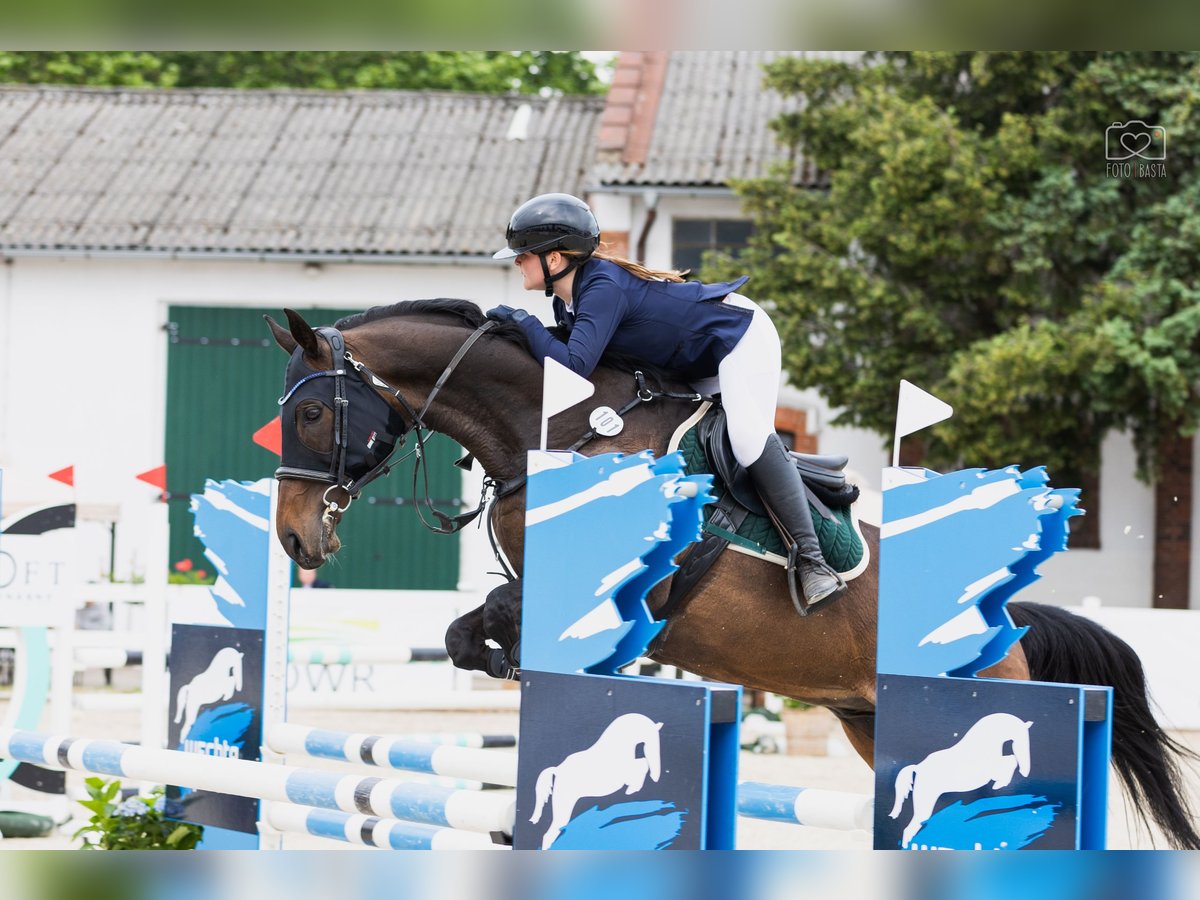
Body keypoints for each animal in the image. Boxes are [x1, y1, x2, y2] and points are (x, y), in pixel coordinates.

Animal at [532, 710, 667, 854]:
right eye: (652, 740)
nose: (656, 777)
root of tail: (557, 770)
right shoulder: (623, 774)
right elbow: (642, 764)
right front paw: (632, 788)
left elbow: (642, 764)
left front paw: (632, 788)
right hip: (564, 805)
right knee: (550, 833)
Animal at [888, 715, 1036, 849]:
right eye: (1023, 740)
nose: (1026, 771)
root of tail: (918, 768)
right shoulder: (989, 771)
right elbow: (1011, 761)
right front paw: (1000, 784)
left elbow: (1010, 761)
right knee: (911, 827)